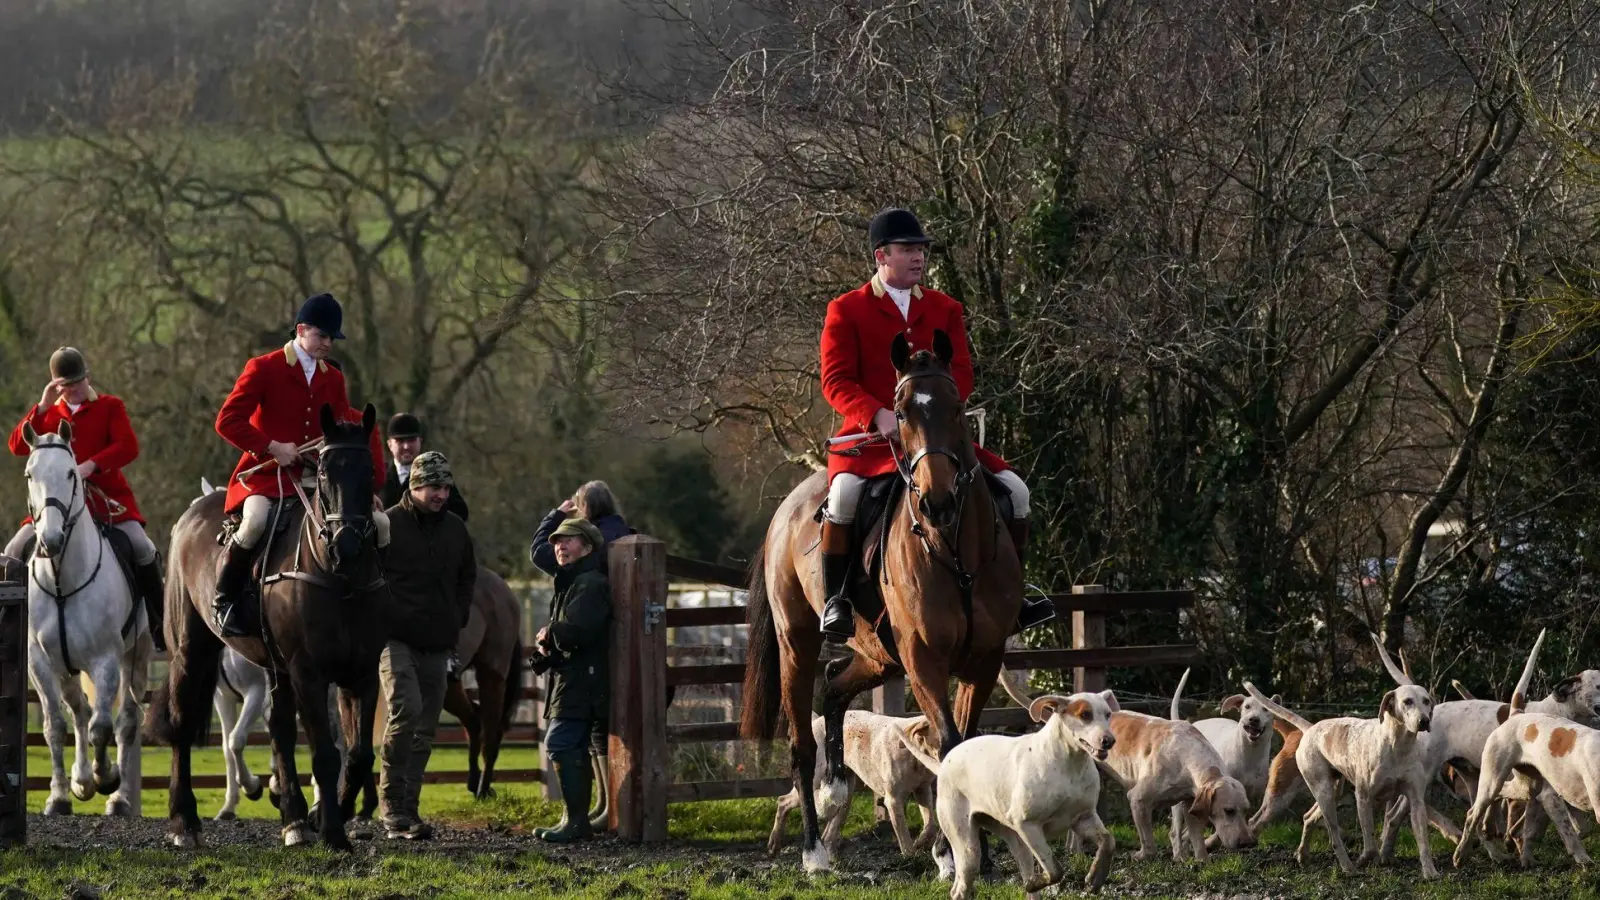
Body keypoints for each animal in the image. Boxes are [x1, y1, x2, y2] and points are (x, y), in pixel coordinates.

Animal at [18, 419, 152, 813]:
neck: (63, 581)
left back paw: (118, 798)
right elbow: (54, 727)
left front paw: (106, 777)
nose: (50, 540)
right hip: (67, 668)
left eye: (71, 473)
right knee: (78, 711)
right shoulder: (39, 662)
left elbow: (102, 727)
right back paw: (80, 781)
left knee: (126, 721)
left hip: (135, 656)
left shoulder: (105, 660)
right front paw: (60, 795)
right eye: (30, 474)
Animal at [150, 403, 387, 845]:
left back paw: (293, 819)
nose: (346, 545)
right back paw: (184, 821)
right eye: (324, 472)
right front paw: (332, 832)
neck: (340, 578)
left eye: (369, 471)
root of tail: (194, 511)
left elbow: (358, 754)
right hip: (191, 652)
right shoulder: (309, 673)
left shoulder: (360, 674)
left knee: (279, 731)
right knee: (182, 724)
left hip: (277, 669)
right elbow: (325, 755)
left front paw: (327, 814)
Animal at [739, 331, 1024, 871]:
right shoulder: (924, 659)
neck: (955, 551)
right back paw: (813, 851)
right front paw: (949, 853)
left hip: (878, 655)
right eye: (901, 411)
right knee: (801, 743)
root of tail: (786, 509)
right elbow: (948, 743)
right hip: (799, 643)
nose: (937, 501)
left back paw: (836, 791)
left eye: (957, 407)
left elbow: (968, 742)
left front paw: (974, 852)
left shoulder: (983, 659)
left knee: (833, 689)